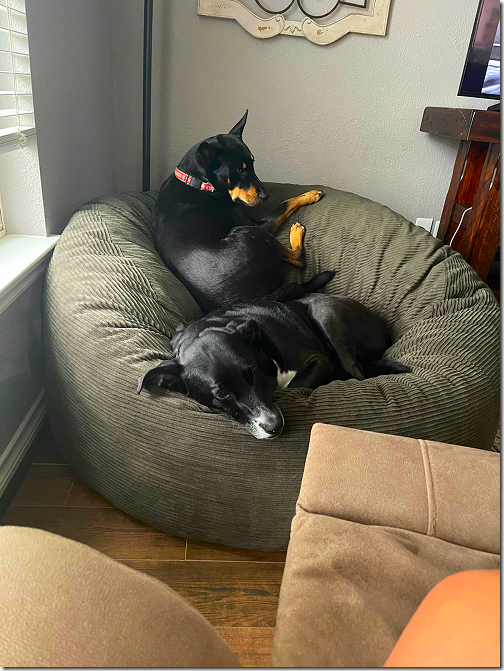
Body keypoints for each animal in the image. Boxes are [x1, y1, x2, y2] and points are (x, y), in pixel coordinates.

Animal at [137, 294, 410, 440]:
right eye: (221, 394)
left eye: (252, 372)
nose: (275, 426)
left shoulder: (320, 361)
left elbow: (289, 385)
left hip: (324, 310)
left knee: (355, 374)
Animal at [152, 112, 324, 316]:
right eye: (239, 170)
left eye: (252, 164)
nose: (266, 195)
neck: (197, 181)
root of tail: (264, 296)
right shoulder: (257, 224)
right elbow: (284, 204)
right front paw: (310, 195)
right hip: (250, 232)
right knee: (298, 259)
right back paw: (296, 232)